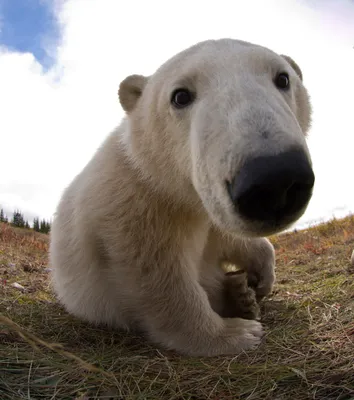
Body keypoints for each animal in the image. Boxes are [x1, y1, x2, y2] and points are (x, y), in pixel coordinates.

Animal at [49, 38, 316, 356]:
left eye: (283, 78)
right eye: (180, 96)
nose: (273, 179)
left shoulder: (206, 205)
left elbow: (225, 236)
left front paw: (262, 277)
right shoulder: (138, 203)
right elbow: (158, 274)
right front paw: (234, 334)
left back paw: (241, 294)